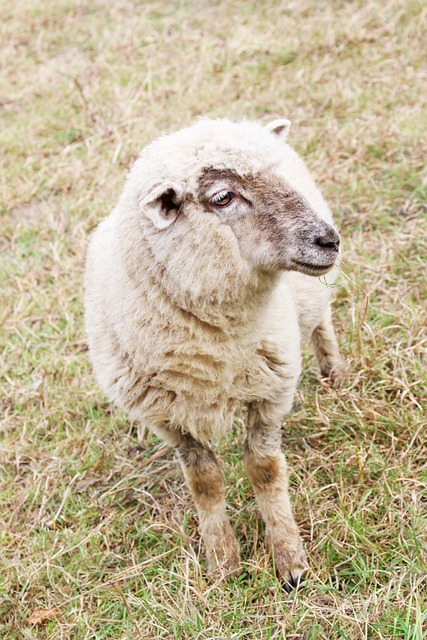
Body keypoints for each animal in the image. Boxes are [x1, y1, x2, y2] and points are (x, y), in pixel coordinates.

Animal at [83, 117, 344, 592]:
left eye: (278, 175)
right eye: (223, 197)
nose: (329, 240)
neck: (218, 350)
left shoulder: (271, 391)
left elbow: (265, 469)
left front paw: (290, 563)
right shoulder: (168, 419)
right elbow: (204, 483)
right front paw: (223, 564)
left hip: (312, 299)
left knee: (321, 322)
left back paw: (335, 372)